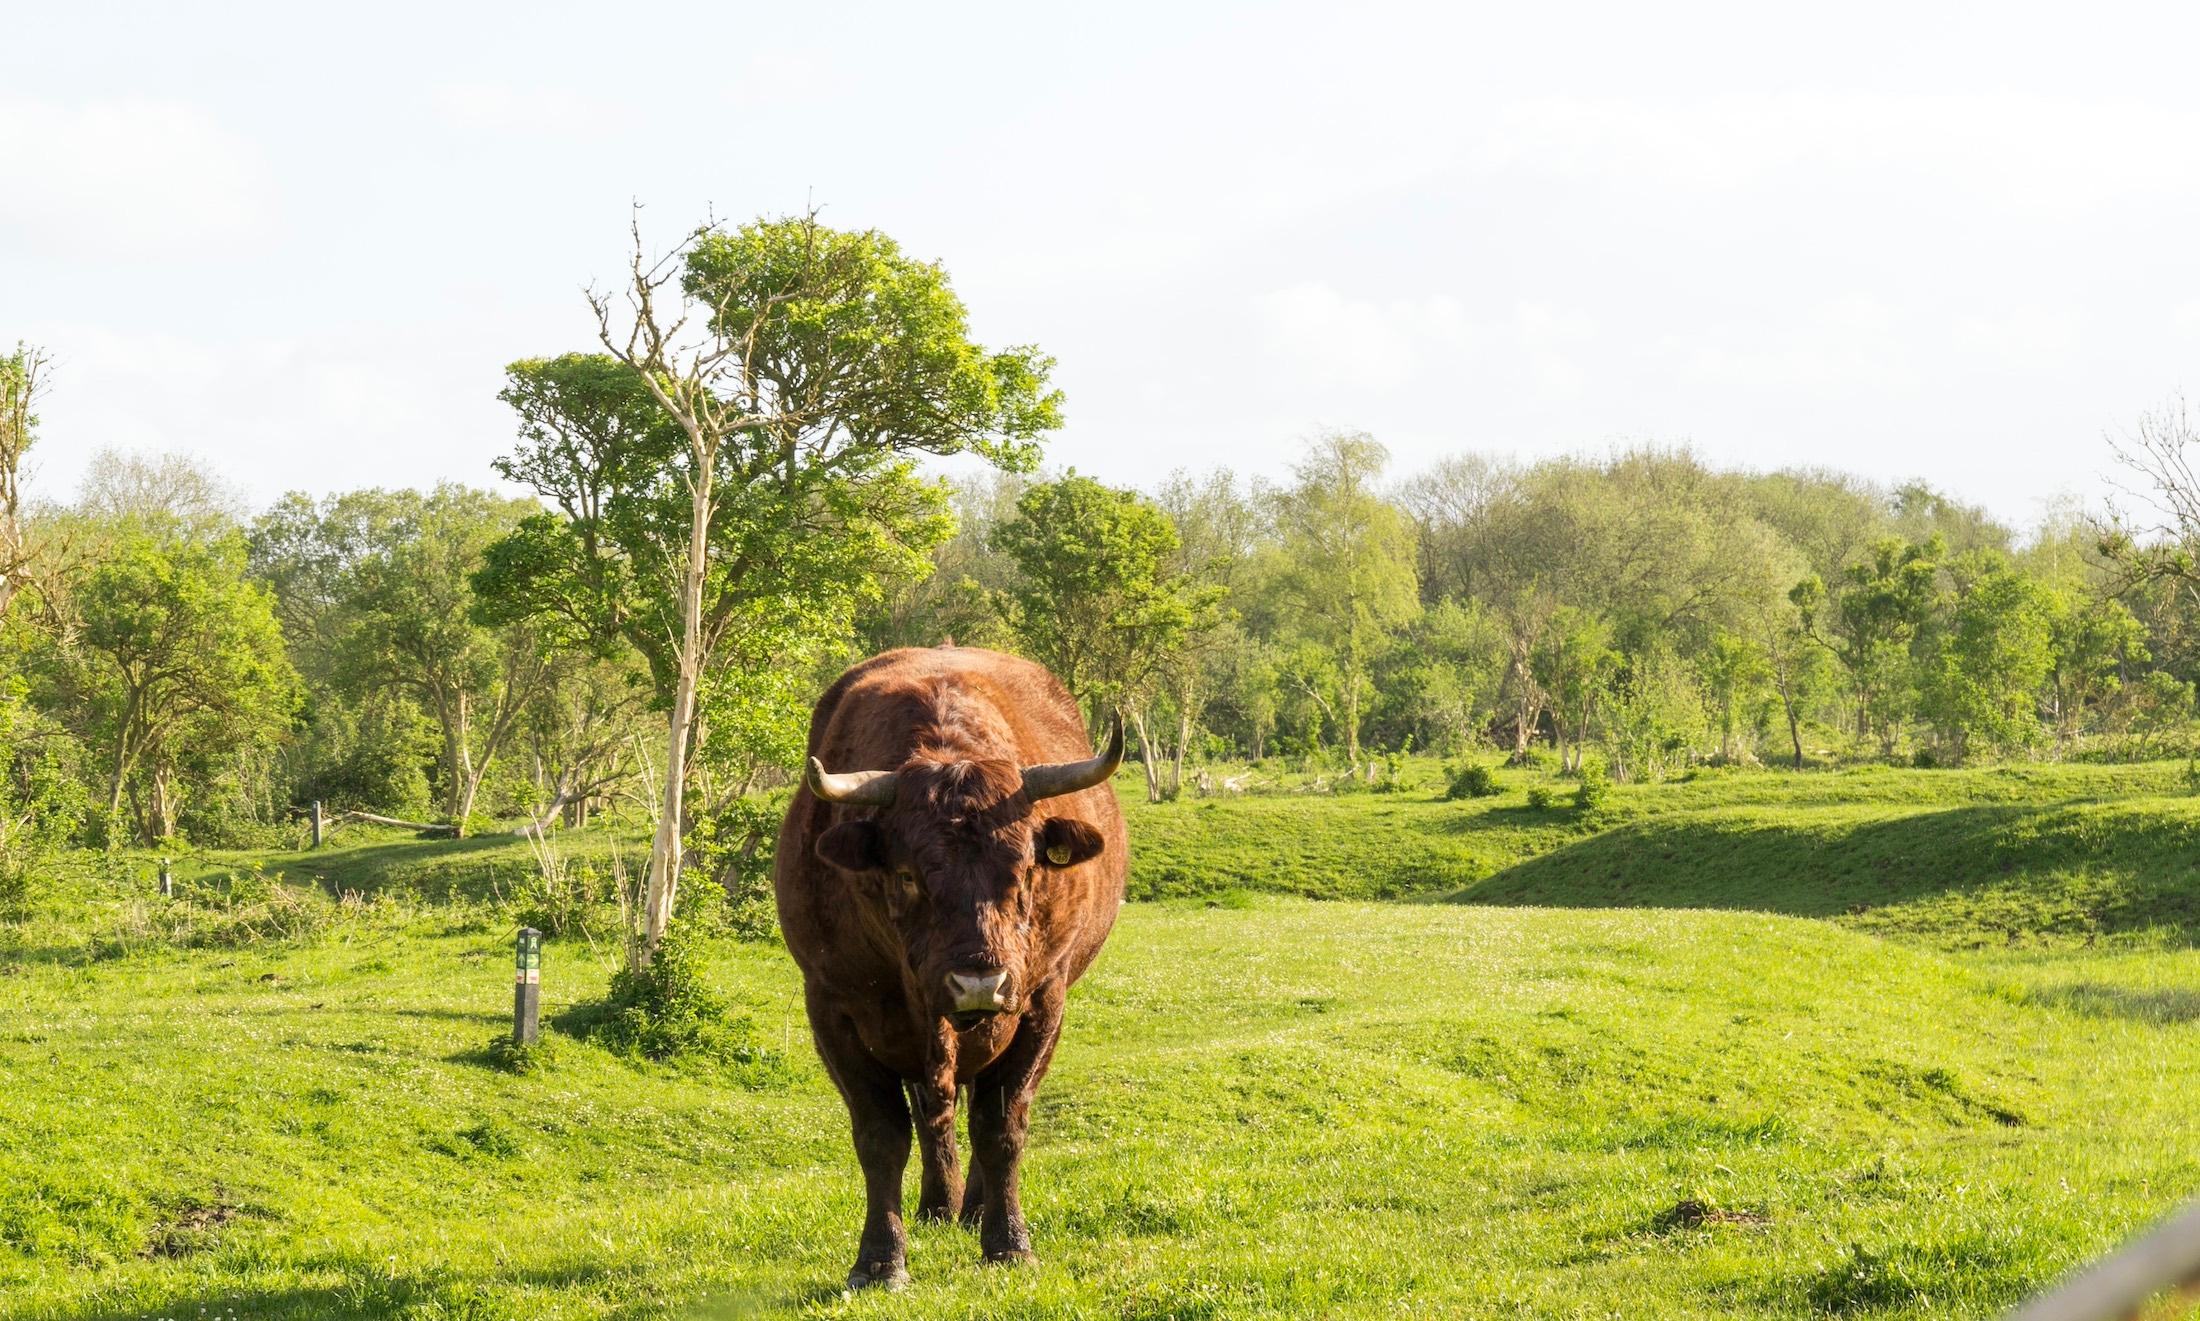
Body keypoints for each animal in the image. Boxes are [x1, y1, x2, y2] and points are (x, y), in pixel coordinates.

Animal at [774, 642, 1126, 1285]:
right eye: (909, 874)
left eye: (1026, 868)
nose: (978, 982)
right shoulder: (833, 1009)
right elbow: (883, 1135)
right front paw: (880, 1260)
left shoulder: (1043, 1003)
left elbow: (1001, 1125)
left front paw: (1008, 1241)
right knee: (933, 1109)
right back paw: (940, 1205)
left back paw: (976, 1207)